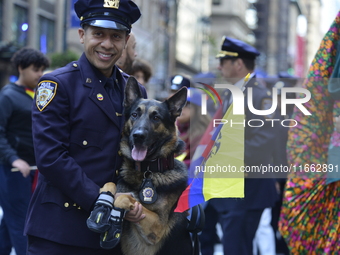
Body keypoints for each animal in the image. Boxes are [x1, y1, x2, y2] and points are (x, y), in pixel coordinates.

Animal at [102, 77, 193, 255]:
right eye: (134, 115)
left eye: (156, 118)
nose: (138, 136)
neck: (147, 171)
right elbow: (111, 185)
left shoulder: (157, 227)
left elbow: (124, 197)